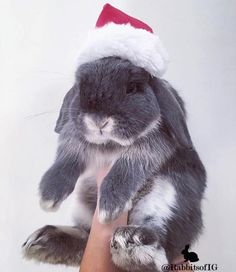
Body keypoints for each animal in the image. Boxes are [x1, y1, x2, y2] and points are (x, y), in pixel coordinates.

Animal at [22, 56, 206, 270]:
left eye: (132, 87)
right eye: (81, 86)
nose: (97, 120)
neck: (110, 144)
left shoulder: (155, 141)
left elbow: (129, 163)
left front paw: (111, 205)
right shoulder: (74, 135)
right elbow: (69, 152)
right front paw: (49, 192)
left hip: (168, 196)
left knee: (163, 248)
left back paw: (132, 243)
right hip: (84, 205)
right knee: (85, 237)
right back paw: (44, 240)